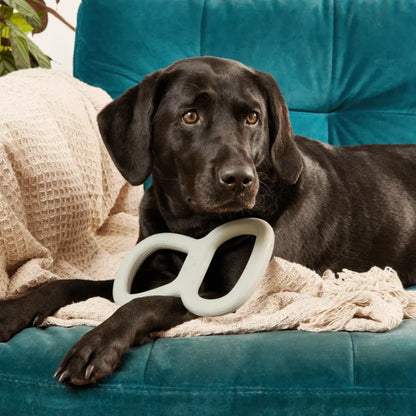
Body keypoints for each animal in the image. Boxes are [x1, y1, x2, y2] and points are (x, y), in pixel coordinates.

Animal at [0, 57, 416, 386]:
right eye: (190, 116)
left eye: (252, 117)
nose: (239, 179)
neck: (193, 226)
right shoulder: (145, 272)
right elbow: (66, 283)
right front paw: (14, 308)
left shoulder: (240, 294)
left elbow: (148, 302)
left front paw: (96, 345)